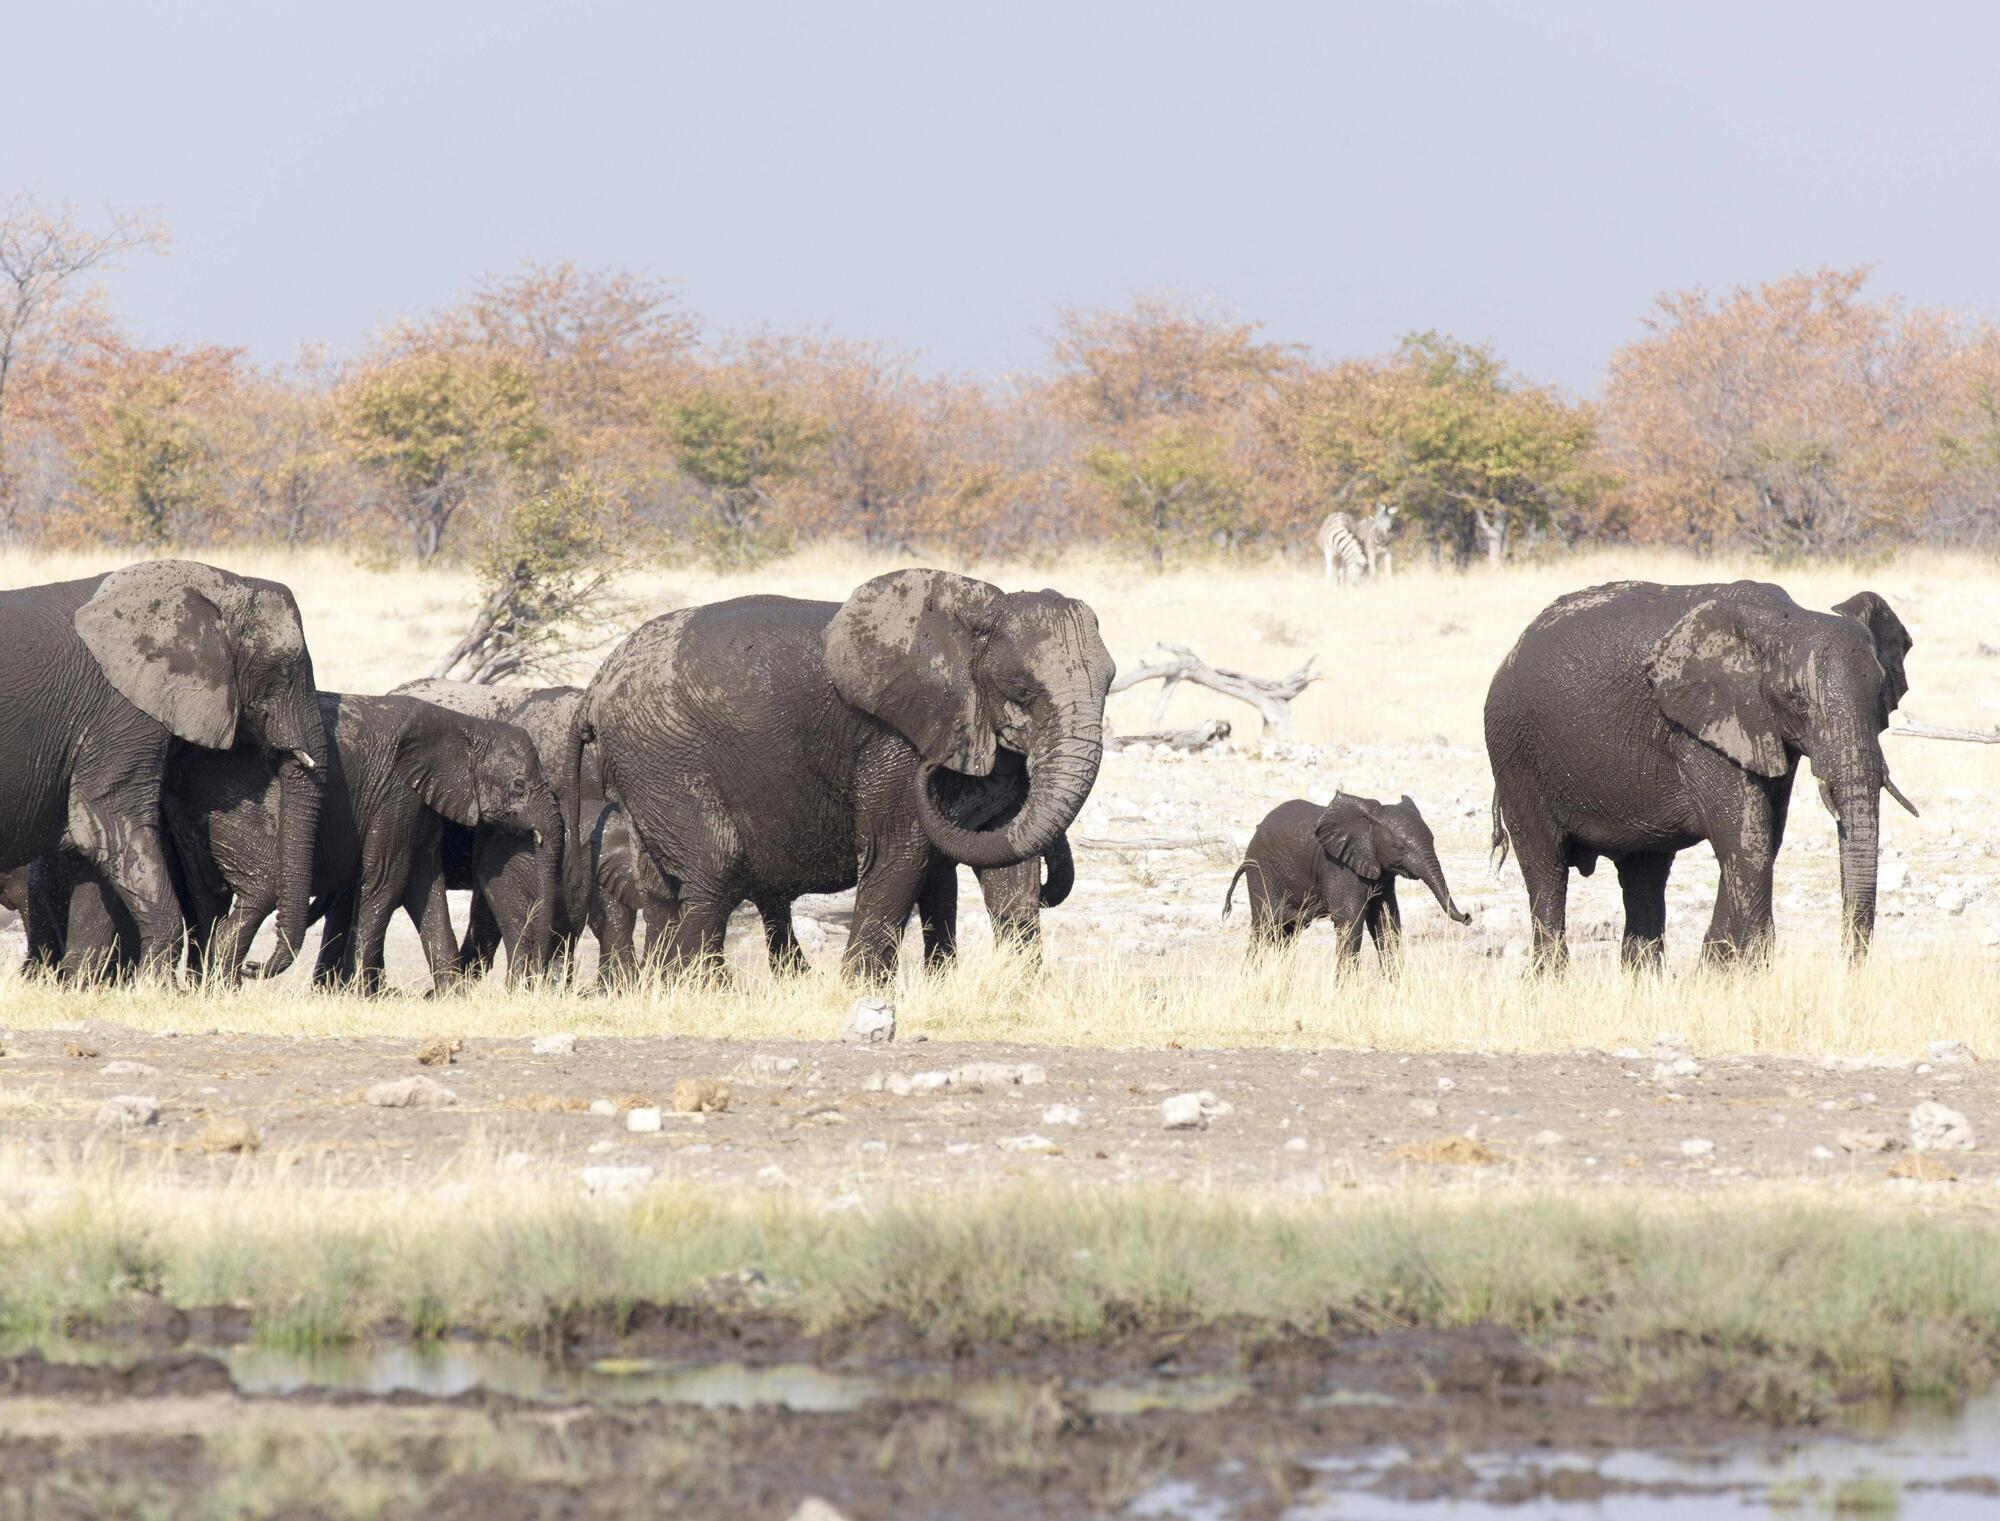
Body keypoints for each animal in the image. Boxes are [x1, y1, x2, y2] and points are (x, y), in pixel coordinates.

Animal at [0, 564, 326, 980]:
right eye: (284, 671)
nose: (254, 967)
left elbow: (86, 851)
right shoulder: (122, 716)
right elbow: (108, 828)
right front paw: (150, 983)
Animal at [572, 568, 1120, 972]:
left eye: (1111, 683)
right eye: (1023, 691)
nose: (933, 775)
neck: (972, 621)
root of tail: (595, 686)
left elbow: (1007, 864)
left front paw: (1022, 994)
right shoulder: (893, 739)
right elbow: (897, 851)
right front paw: (860, 991)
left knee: (663, 887)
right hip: (660, 753)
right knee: (713, 868)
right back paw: (698, 991)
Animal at [1216, 796, 1472, 960]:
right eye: (1400, 847)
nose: (1468, 917)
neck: (1371, 819)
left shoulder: (1382, 873)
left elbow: (1387, 922)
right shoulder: (1338, 866)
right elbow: (1350, 921)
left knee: (1286, 934)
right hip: (1260, 872)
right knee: (1264, 926)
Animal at [1488, 576, 1920, 968]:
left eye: (1880, 695)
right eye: (1798, 701)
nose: (1846, 968)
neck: (1783, 621)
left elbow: (1764, 836)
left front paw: (1718, 970)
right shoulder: (1701, 726)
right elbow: (1748, 839)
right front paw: (1742, 970)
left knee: (1644, 874)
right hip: (1516, 755)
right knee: (1546, 868)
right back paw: (1550, 978)